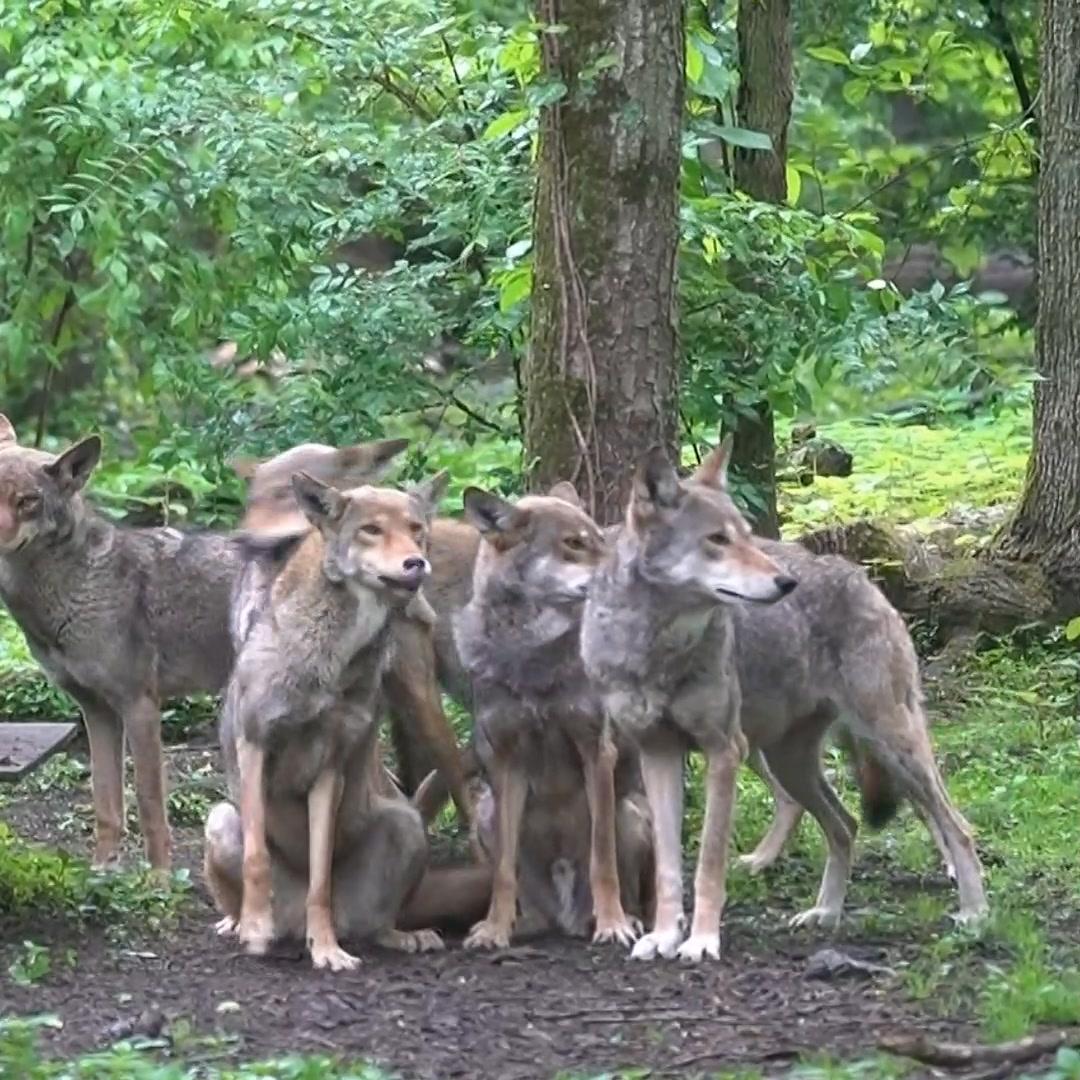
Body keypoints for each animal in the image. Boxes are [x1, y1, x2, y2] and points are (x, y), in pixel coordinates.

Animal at [205, 467, 490, 970]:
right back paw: (244, 926)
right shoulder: (255, 744)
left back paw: (394, 935)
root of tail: (291, 927)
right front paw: (256, 929)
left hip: (406, 824)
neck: (331, 659)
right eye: (371, 530)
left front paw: (327, 950)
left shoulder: (329, 768)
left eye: (416, 530)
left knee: (373, 923)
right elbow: (258, 858)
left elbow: (320, 878)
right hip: (219, 819)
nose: (416, 563)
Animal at [452, 483, 654, 949]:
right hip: (485, 813)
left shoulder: (596, 750)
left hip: (630, 812)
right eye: (573, 544)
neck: (530, 651)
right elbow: (503, 872)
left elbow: (602, 860)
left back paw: (625, 921)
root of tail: (566, 917)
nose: (626, 573)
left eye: (598, 538)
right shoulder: (504, 760)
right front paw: (493, 930)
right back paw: (523, 924)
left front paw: (613, 925)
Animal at [581, 436, 987, 963]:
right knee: (846, 825)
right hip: (790, 761)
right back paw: (826, 913)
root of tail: (864, 578)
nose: (785, 583)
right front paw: (665, 936)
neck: (654, 646)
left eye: (746, 536)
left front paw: (703, 941)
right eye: (717, 540)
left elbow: (708, 863)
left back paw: (975, 915)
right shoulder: (658, 754)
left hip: (892, 745)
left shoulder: (723, 752)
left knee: (954, 824)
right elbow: (669, 867)